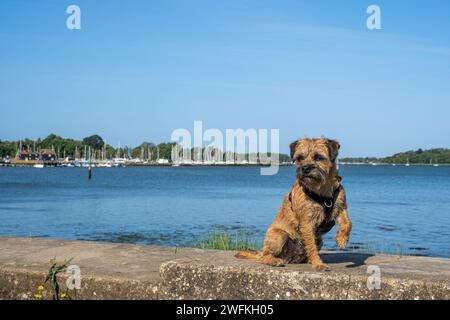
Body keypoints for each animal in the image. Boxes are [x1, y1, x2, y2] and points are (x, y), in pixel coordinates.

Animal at [236, 138, 352, 270]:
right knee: (264, 257)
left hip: (319, 241)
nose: (305, 169)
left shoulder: (340, 206)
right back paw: (275, 261)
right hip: (279, 235)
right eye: (300, 158)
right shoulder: (307, 222)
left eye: (318, 157)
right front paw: (318, 263)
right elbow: (311, 245)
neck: (322, 189)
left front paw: (342, 239)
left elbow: (348, 223)